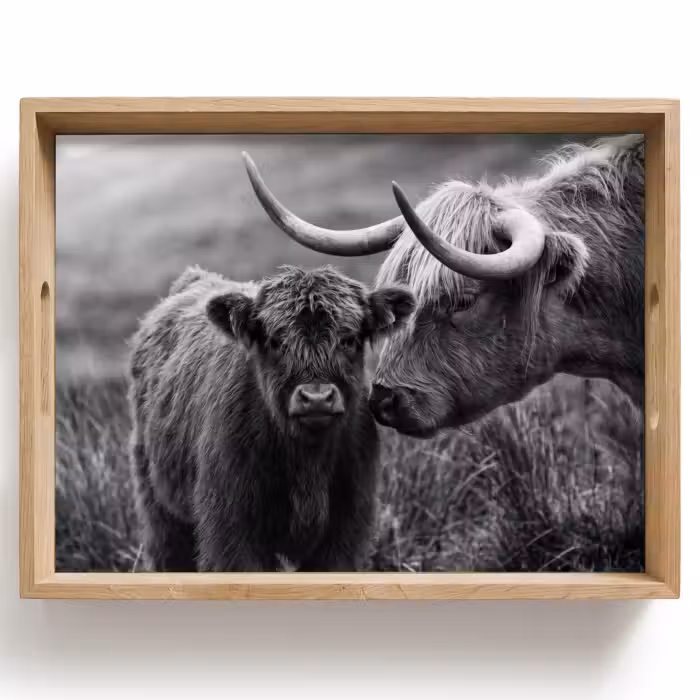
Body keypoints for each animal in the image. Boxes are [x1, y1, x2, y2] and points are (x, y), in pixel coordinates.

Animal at [128, 264, 415, 571]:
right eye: (276, 341)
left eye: (348, 340)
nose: (316, 397)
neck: (307, 460)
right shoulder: (231, 529)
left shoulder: (345, 531)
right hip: (160, 508)